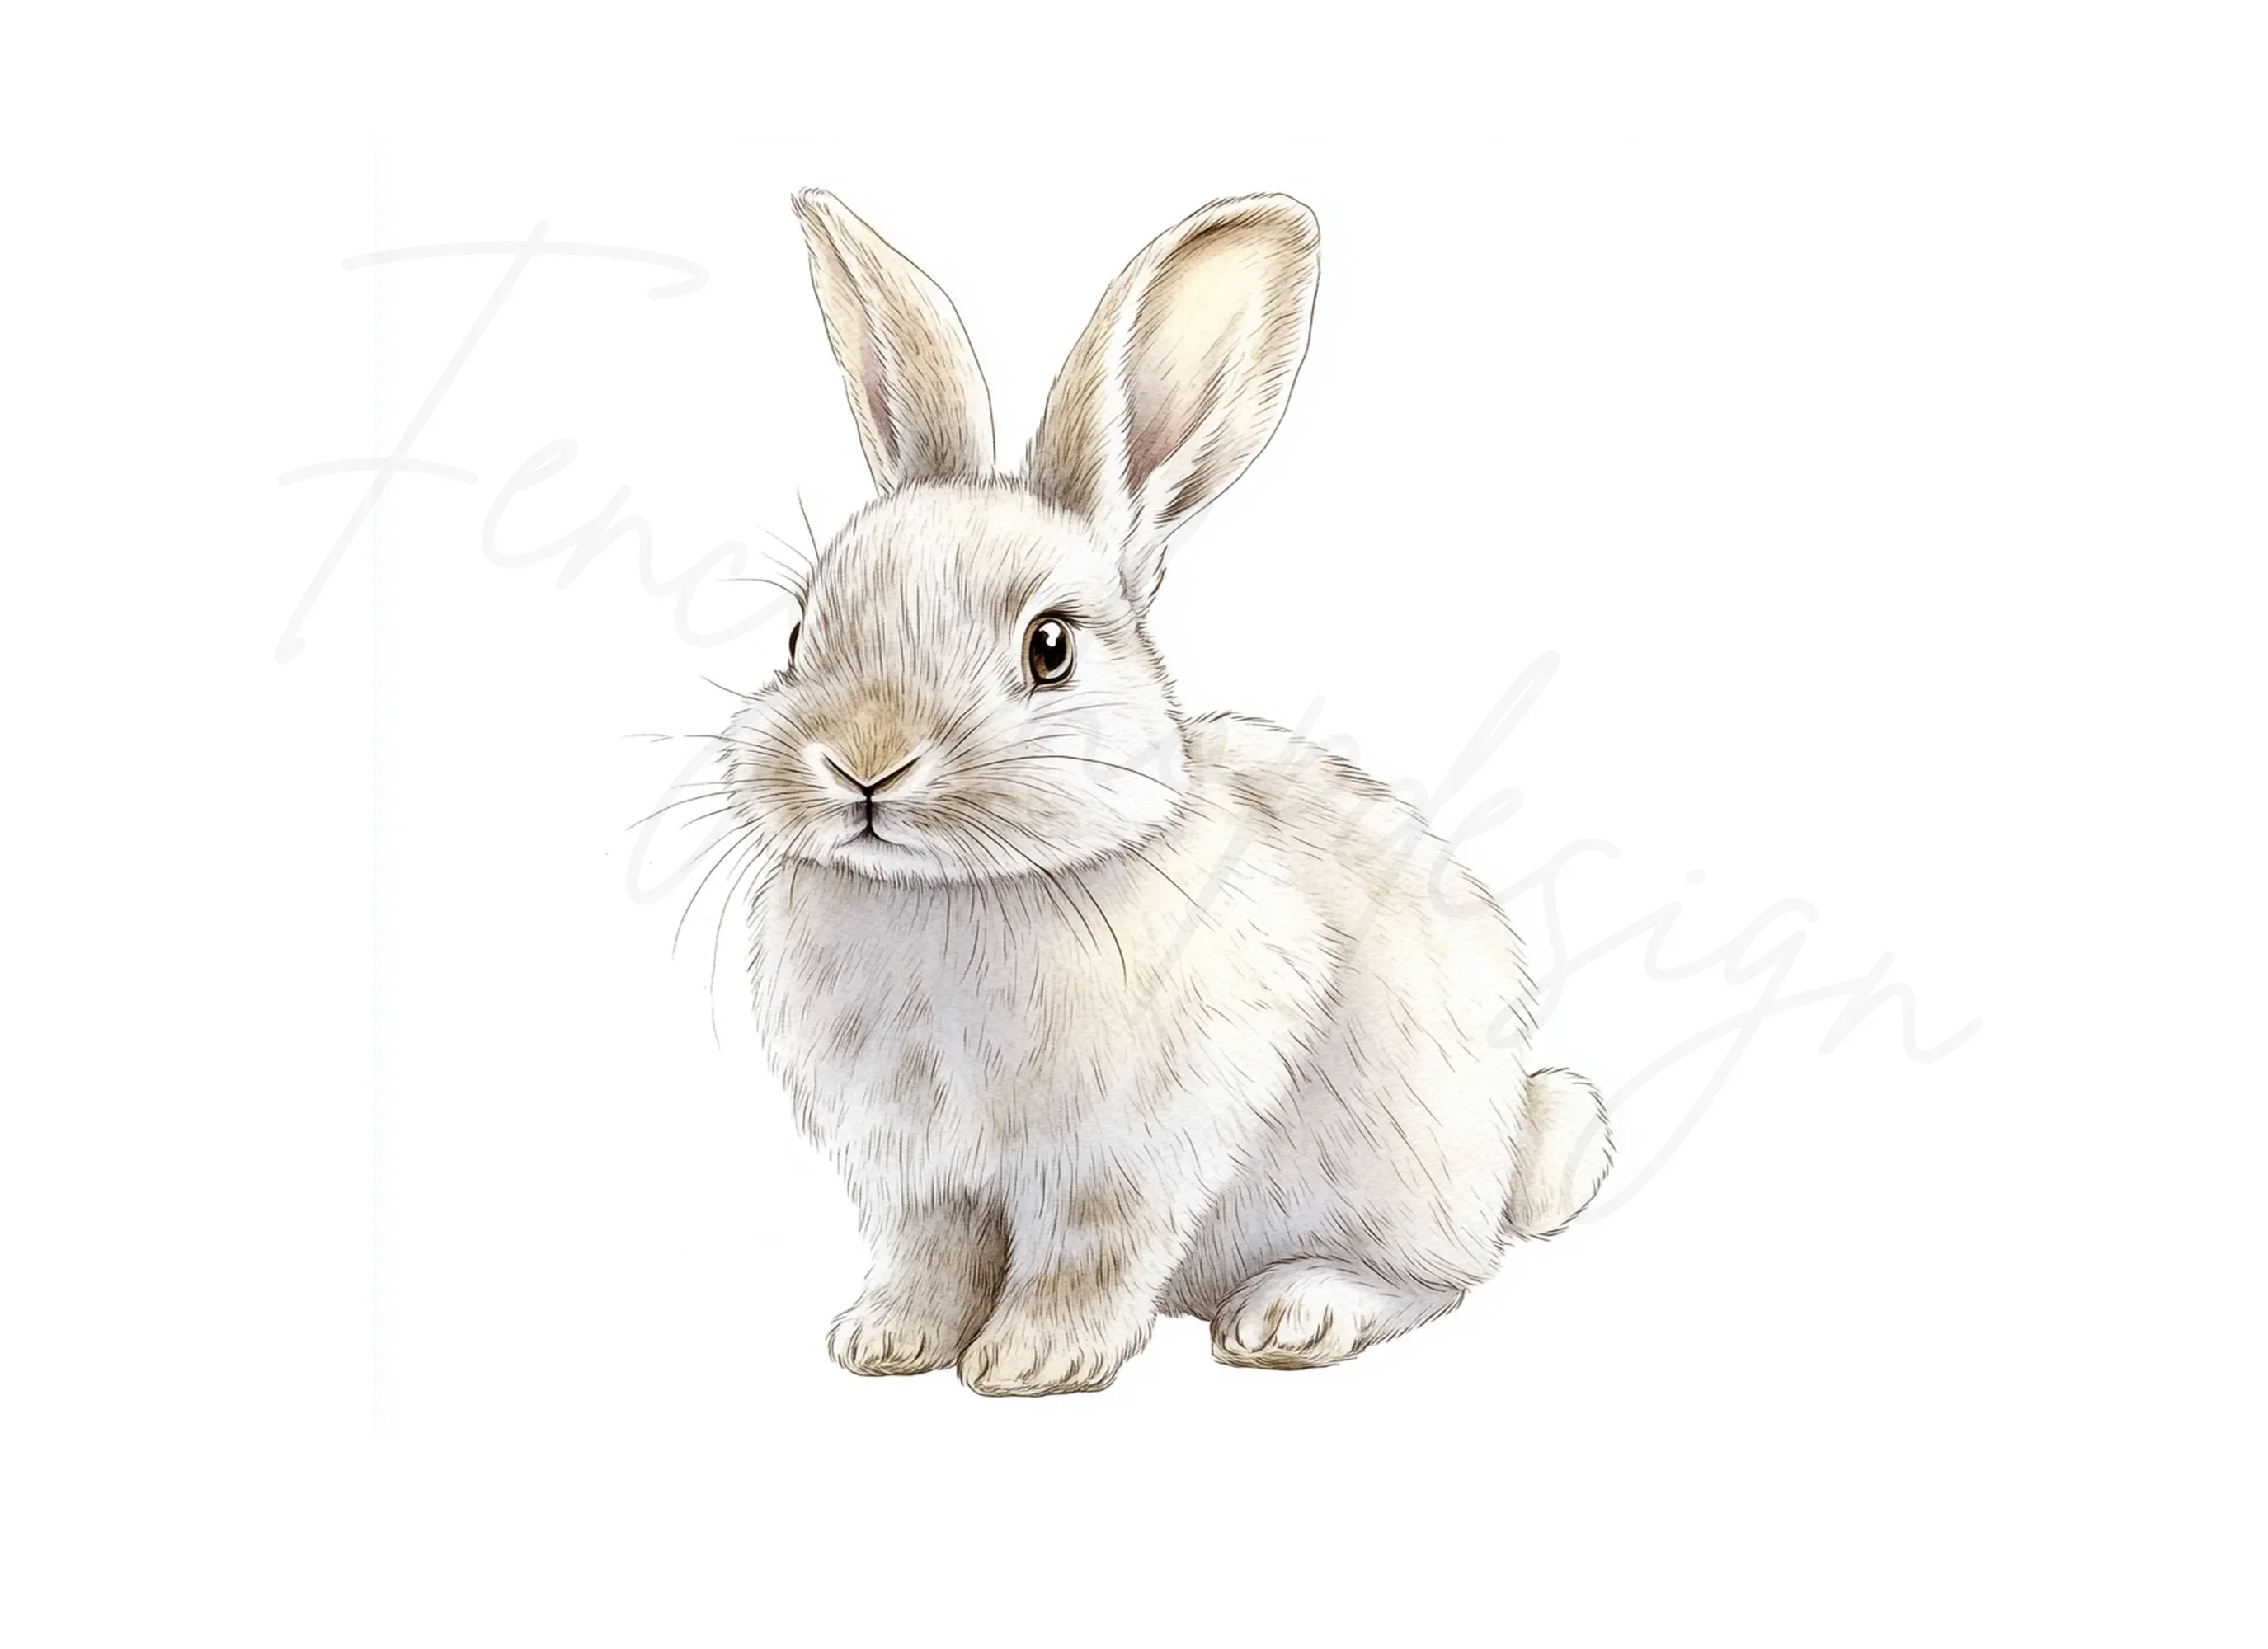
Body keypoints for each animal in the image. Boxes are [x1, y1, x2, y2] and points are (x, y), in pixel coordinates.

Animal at [712, 188, 1612, 1396]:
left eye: (1049, 647)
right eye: (800, 632)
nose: (865, 764)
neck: (959, 889)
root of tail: (1514, 1148)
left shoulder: (1127, 1154)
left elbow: (1087, 1252)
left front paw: (1032, 1361)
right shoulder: (919, 1170)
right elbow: (928, 1253)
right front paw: (884, 1343)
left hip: (1405, 1169)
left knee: (1439, 1278)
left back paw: (1293, 1312)